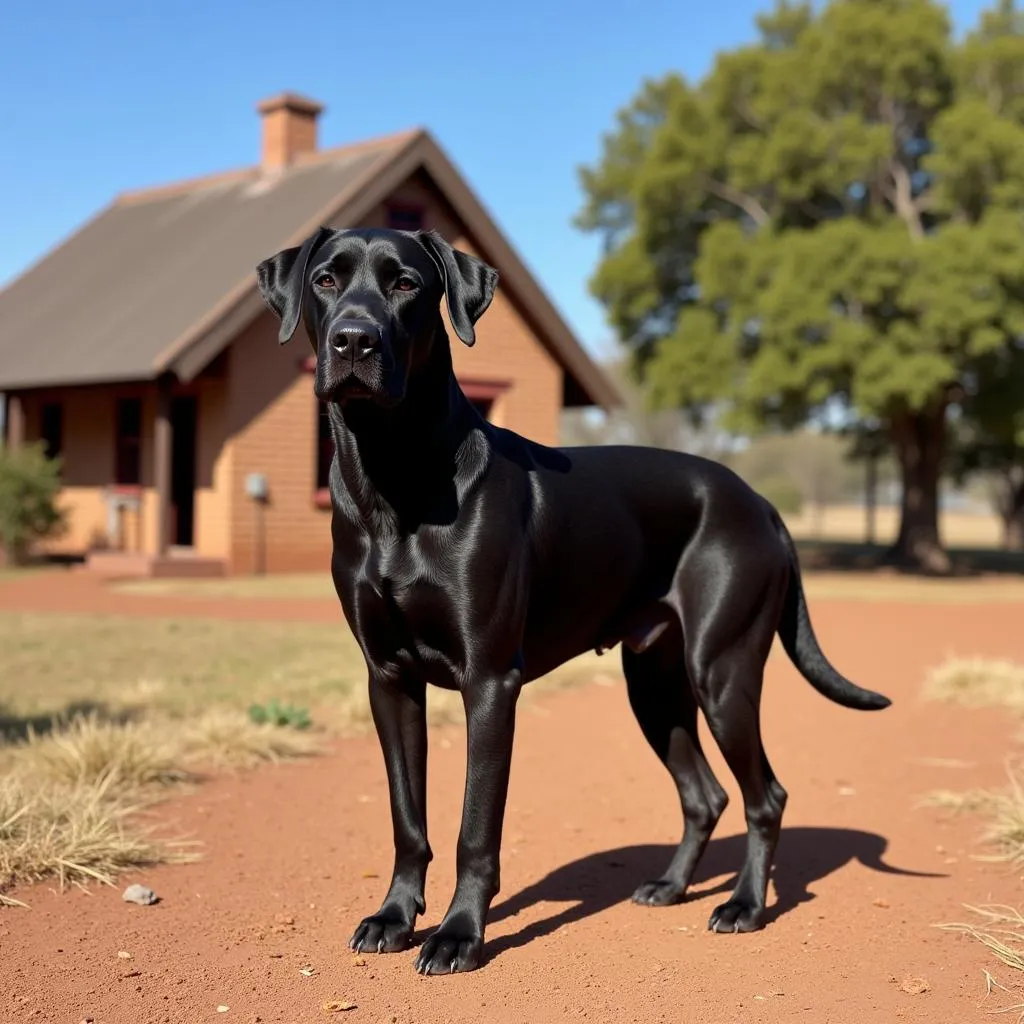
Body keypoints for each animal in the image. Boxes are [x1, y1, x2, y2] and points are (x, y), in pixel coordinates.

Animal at [253, 228, 888, 978]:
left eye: (406, 284)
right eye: (325, 279)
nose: (353, 339)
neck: (394, 475)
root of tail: (759, 501)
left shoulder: (491, 682)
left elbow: (475, 827)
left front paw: (459, 934)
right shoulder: (389, 679)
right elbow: (408, 818)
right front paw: (394, 917)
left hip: (723, 673)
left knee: (766, 796)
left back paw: (744, 905)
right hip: (655, 684)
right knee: (704, 794)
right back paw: (670, 886)